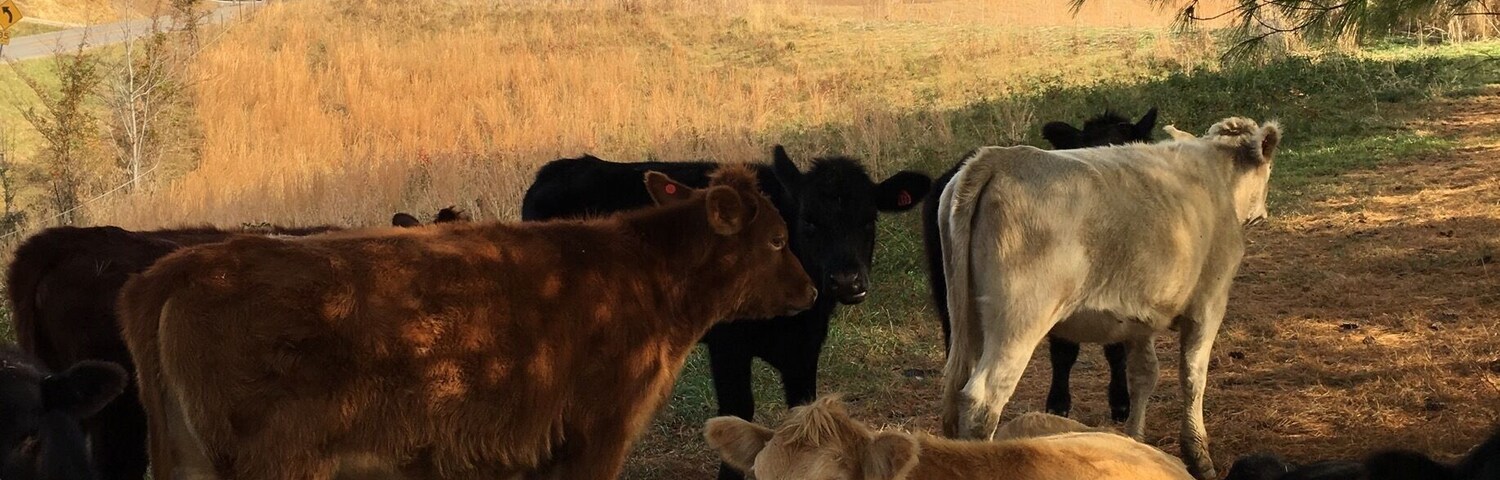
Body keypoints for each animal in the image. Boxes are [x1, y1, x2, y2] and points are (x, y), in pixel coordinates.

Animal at [519, 146, 930, 480]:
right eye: (809, 220)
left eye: (869, 220)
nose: (847, 281)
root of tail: (557, 169)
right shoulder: (728, 347)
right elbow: (738, 411)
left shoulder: (806, 348)